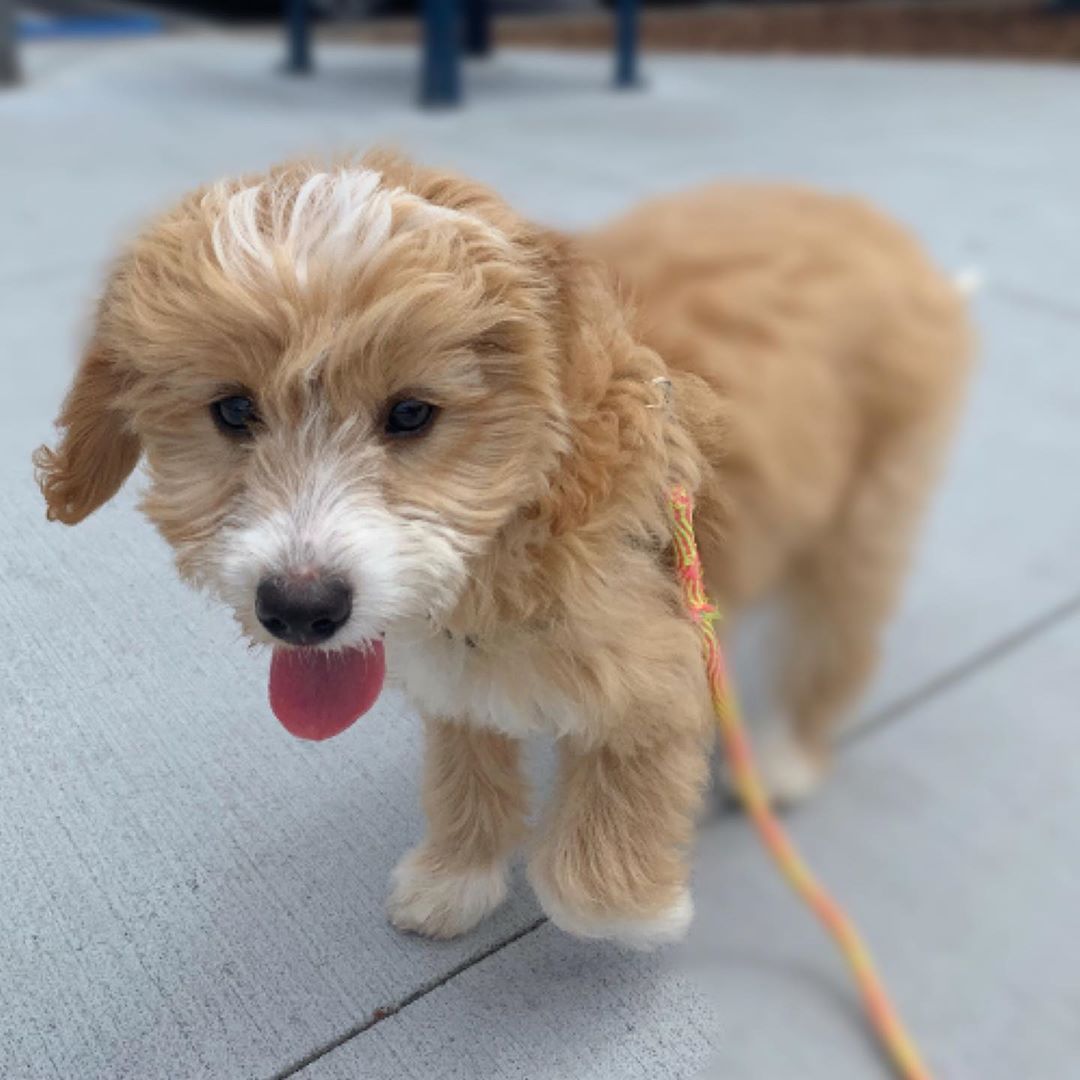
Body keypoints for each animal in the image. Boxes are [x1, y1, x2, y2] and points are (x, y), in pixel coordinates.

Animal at [31, 152, 972, 946]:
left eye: (412, 414)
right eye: (232, 410)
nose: (299, 609)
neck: (508, 545)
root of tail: (865, 221)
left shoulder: (651, 667)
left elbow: (589, 873)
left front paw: (633, 905)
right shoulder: (458, 683)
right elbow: (465, 772)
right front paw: (456, 878)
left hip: (864, 520)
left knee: (837, 639)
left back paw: (784, 757)